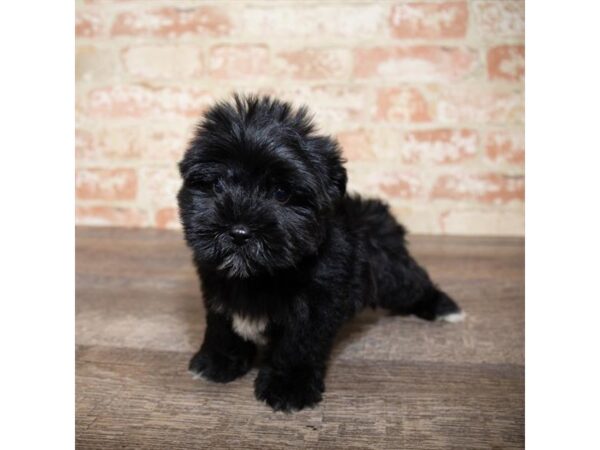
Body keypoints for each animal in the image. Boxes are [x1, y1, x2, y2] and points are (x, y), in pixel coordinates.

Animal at [176, 94, 462, 412]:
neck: (260, 276)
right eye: (216, 185)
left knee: (412, 282)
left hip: (393, 274)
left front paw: (288, 386)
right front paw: (218, 362)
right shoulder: (217, 286)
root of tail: (375, 214)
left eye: (281, 193)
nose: (239, 231)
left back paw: (443, 307)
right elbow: (222, 326)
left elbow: (298, 344)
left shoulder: (315, 302)